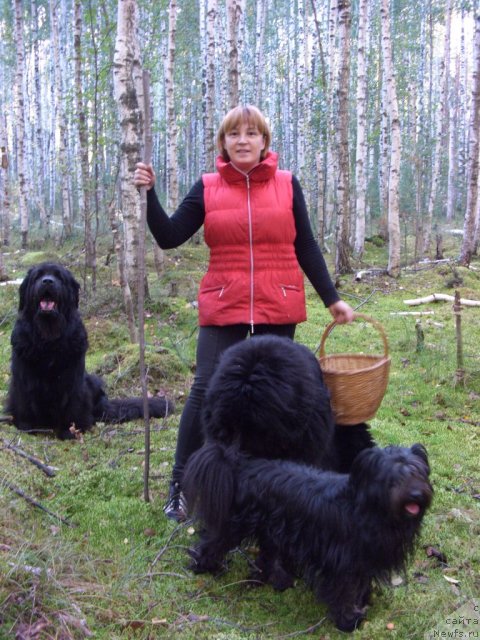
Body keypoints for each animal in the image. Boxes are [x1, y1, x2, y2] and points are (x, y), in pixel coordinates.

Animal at [5, 262, 172, 440]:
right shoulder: (23, 374)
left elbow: (72, 402)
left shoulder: (73, 377)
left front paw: (70, 431)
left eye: (59, 277)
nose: (47, 281)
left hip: (93, 381)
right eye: (38, 276)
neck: (49, 338)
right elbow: (24, 400)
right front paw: (27, 427)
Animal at [184, 442, 432, 632]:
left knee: (268, 556)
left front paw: (363, 602)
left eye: (419, 472)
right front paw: (348, 621)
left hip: (274, 529)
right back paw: (205, 566)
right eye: (393, 477)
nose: (416, 494)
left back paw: (277, 580)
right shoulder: (343, 561)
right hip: (238, 524)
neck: (369, 508)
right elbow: (345, 590)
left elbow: (360, 584)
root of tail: (242, 465)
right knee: (215, 541)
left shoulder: (363, 559)